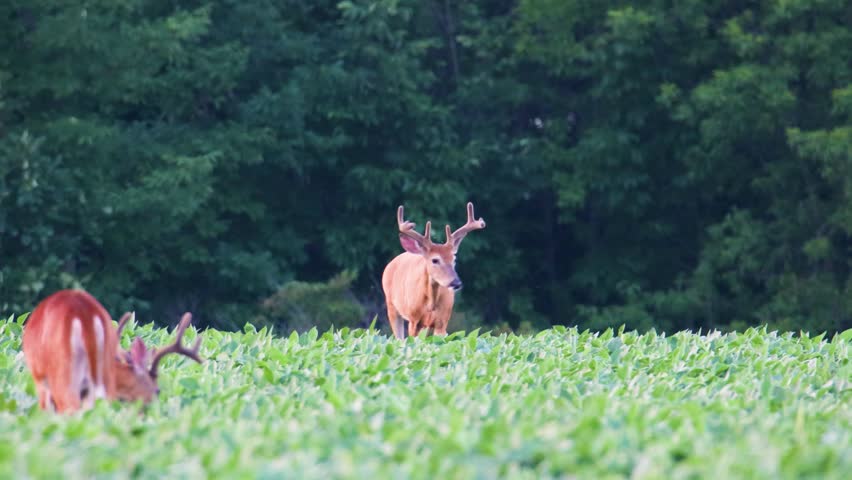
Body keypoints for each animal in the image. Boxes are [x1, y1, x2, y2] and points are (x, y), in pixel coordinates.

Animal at [382, 201, 486, 339]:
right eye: (435, 260)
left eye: (454, 259)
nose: (456, 283)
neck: (430, 304)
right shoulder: (413, 320)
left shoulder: (442, 322)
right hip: (391, 305)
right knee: (399, 338)